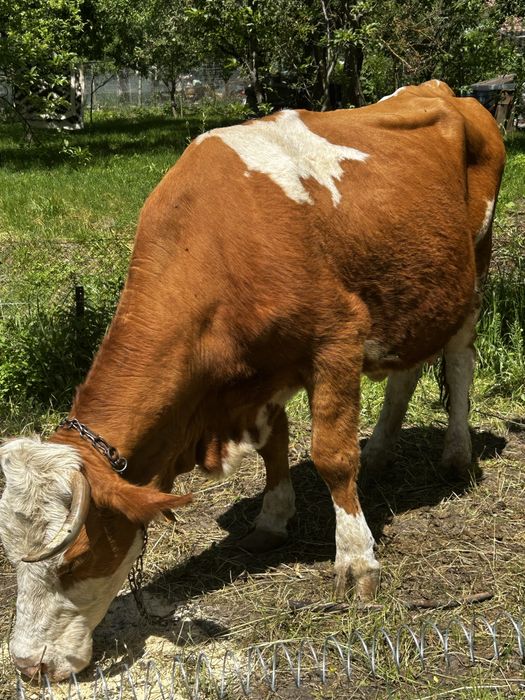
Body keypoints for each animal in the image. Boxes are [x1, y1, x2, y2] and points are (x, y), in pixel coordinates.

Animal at [0, 80, 505, 681]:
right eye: (8, 557)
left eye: (77, 558)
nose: (27, 664)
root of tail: (442, 90)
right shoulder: (259, 373)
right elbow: (274, 446)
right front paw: (273, 517)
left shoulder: (336, 340)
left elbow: (332, 456)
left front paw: (356, 561)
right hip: (411, 290)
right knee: (405, 373)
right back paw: (381, 449)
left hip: (474, 270)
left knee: (459, 360)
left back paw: (457, 454)